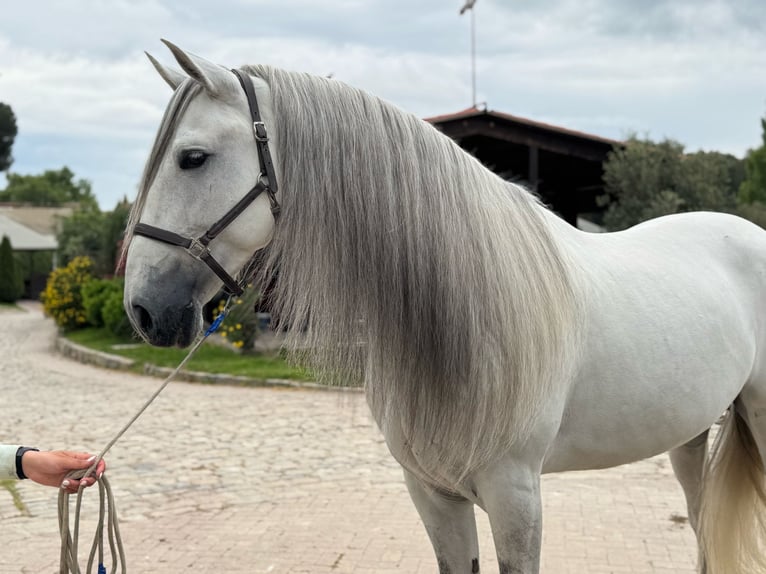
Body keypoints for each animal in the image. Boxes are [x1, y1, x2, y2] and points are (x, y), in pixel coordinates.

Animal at [122, 40, 766, 574]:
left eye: (192, 158)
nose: (143, 310)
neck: (466, 316)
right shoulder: (431, 493)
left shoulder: (516, 497)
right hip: (689, 433)